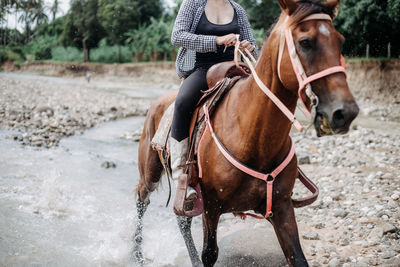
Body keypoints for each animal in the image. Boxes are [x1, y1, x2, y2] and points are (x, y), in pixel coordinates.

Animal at [134, 0, 360, 266]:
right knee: (142, 199)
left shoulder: (281, 207)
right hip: (151, 172)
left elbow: (297, 256)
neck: (254, 136)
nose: (345, 112)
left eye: (340, 40)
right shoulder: (211, 207)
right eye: (306, 42)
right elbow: (209, 254)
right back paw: (137, 254)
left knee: (182, 217)